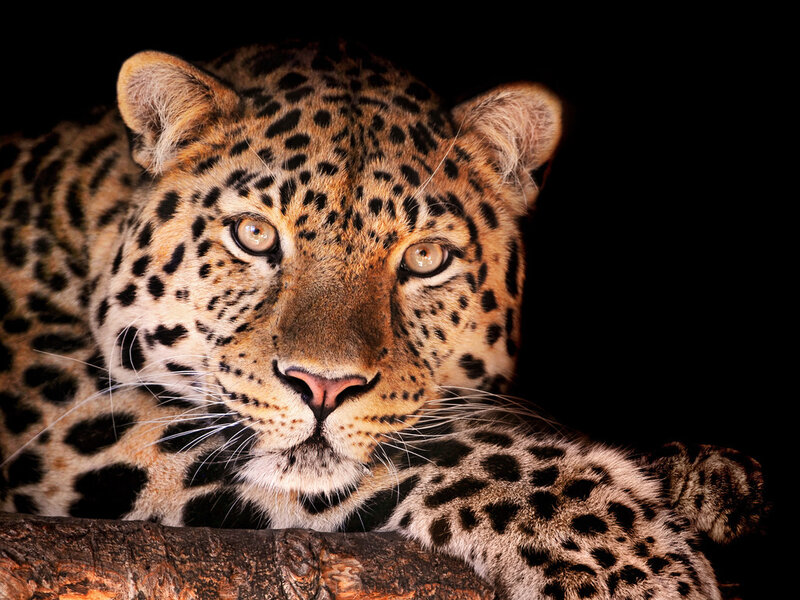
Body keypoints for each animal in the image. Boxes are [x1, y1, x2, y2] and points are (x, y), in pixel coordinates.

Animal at [0, 40, 764, 599]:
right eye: (253, 234)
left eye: (425, 257)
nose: (323, 387)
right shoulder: (63, 417)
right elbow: (437, 446)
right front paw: (619, 551)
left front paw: (706, 480)